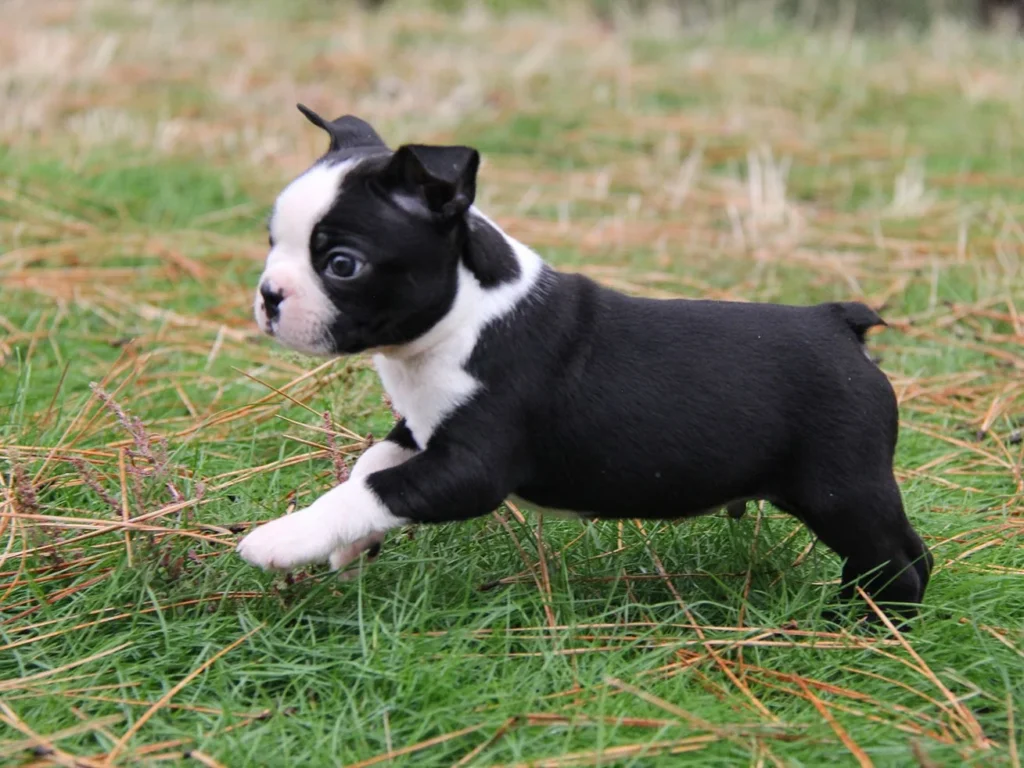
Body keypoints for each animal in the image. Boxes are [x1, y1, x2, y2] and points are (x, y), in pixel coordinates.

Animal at [237, 105, 932, 619]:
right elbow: (371, 464)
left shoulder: (472, 467)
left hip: (840, 486)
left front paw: (285, 538)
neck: (465, 315)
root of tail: (838, 321)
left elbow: (379, 486)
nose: (269, 296)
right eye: (271, 242)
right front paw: (353, 547)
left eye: (341, 264)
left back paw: (864, 626)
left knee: (900, 558)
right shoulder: (423, 428)